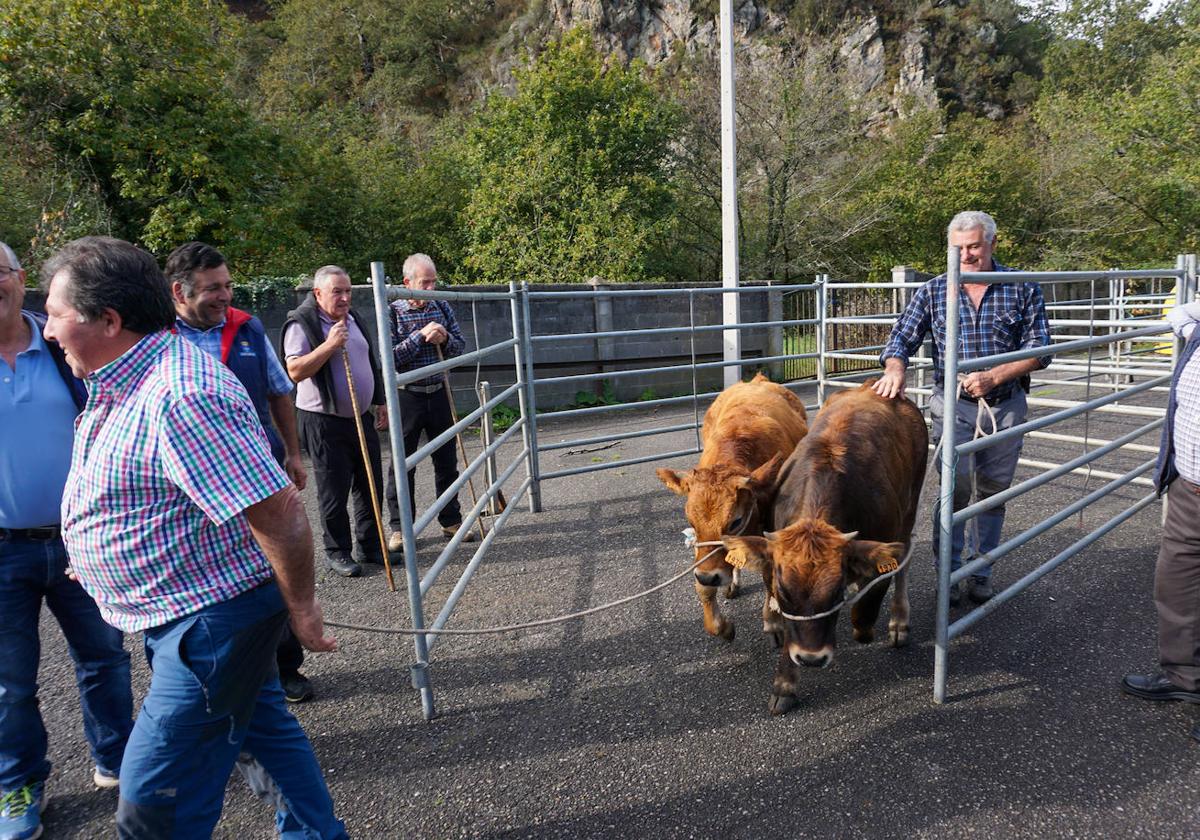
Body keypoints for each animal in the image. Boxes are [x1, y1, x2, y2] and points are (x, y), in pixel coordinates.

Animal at [662, 369, 811, 638]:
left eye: (736, 521)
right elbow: (703, 587)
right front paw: (720, 625)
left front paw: (772, 620)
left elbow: (769, 577)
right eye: (691, 521)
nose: (709, 577)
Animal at [720, 381, 926, 715]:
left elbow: (863, 612)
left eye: (836, 592)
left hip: (911, 505)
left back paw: (899, 621)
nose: (811, 658)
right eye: (784, 592)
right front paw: (785, 684)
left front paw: (864, 624)